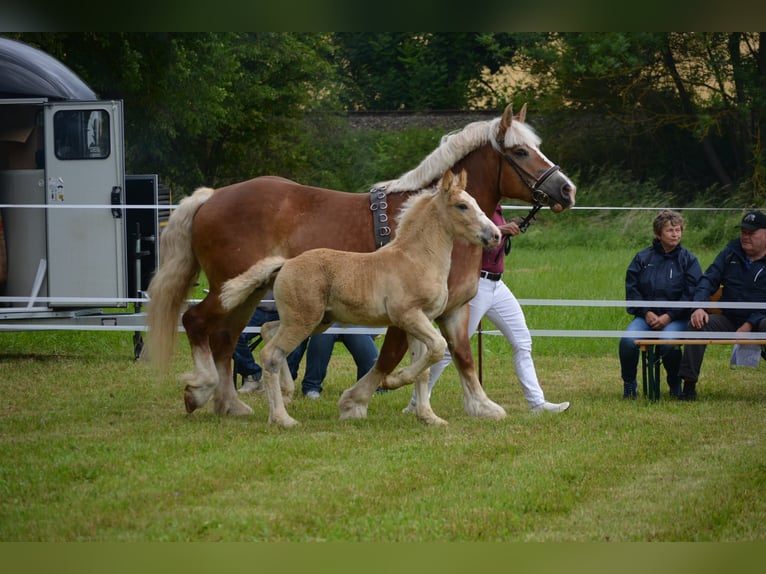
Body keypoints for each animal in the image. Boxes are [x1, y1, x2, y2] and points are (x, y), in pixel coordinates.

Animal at [218, 170, 501, 427]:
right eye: (462, 206)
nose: (495, 235)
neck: (417, 259)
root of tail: (285, 263)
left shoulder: (420, 320)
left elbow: (427, 364)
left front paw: (428, 417)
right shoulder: (406, 316)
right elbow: (438, 347)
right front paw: (392, 380)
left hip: (315, 320)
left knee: (268, 330)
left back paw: (286, 393)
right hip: (303, 321)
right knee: (271, 355)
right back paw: (281, 418)